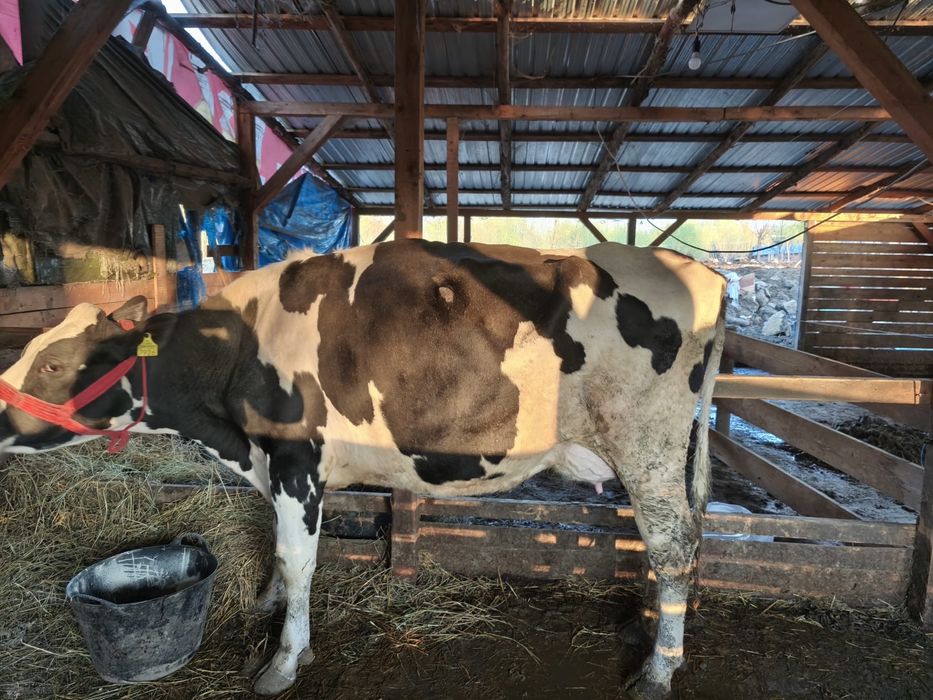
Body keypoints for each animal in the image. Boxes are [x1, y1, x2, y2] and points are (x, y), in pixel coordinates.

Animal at [0, 240, 725, 698]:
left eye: (56, 363)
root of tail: (697, 271)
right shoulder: (274, 466)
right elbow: (277, 547)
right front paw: (267, 602)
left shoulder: (297, 459)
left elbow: (299, 558)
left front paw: (284, 659)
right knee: (675, 543)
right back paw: (648, 627)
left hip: (646, 442)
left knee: (672, 543)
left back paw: (658, 670)